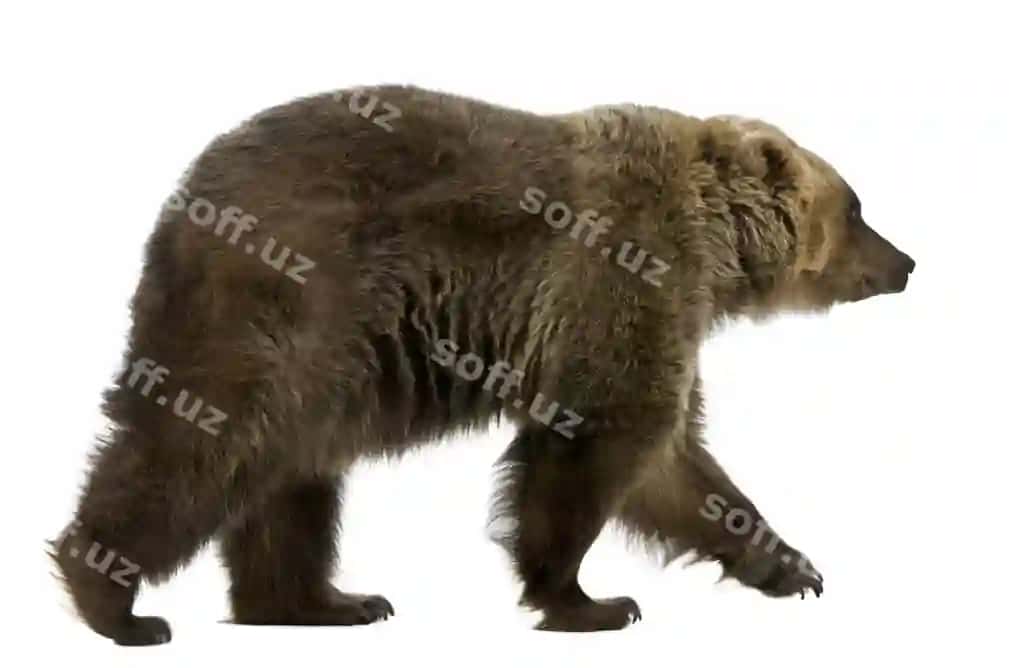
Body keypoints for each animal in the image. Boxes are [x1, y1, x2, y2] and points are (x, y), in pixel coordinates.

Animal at [51, 85, 914, 644]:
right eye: (859, 206)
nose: (907, 261)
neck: (713, 243)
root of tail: (187, 197)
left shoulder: (665, 314)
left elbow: (677, 462)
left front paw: (790, 565)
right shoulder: (625, 274)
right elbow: (605, 436)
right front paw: (589, 601)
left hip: (318, 359)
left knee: (292, 476)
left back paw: (324, 601)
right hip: (293, 302)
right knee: (203, 443)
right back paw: (115, 601)